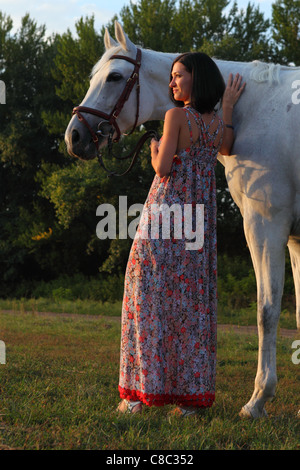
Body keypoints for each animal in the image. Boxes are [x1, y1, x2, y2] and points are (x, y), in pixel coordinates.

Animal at [65, 21, 300, 418]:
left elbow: (266, 310)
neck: (253, 109)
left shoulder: (265, 225)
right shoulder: (296, 239)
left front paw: (258, 400)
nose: (74, 136)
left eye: (114, 77)